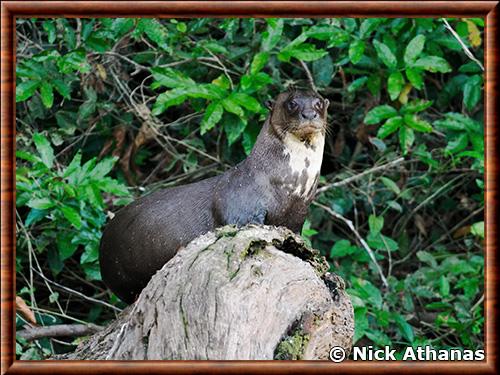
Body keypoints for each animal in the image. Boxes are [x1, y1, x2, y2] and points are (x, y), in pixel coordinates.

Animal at [99, 89, 330, 304]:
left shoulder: (297, 214)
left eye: (319, 103)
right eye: (292, 104)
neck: (291, 185)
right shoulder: (240, 204)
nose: (309, 114)